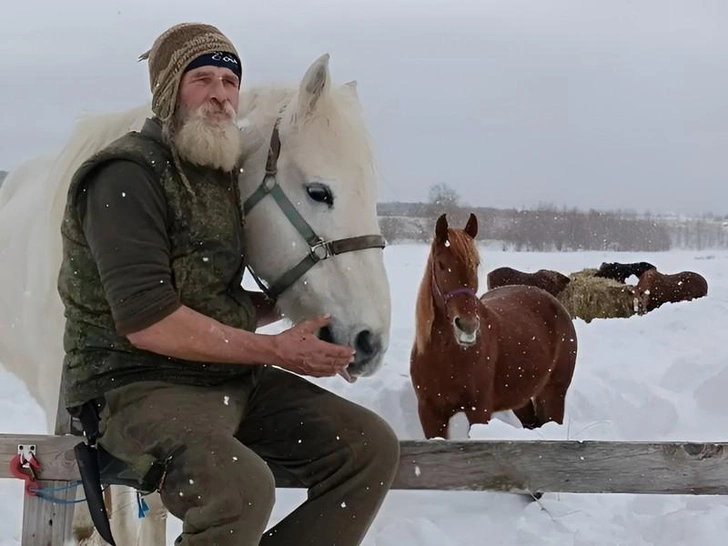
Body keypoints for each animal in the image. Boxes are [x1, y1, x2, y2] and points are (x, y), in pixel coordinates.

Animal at [412, 212, 576, 438]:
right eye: (441, 264)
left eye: (476, 264)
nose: (467, 326)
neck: (445, 354)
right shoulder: (430, 413)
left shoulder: (479, 410)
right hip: (521, 398)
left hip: (553, 393)